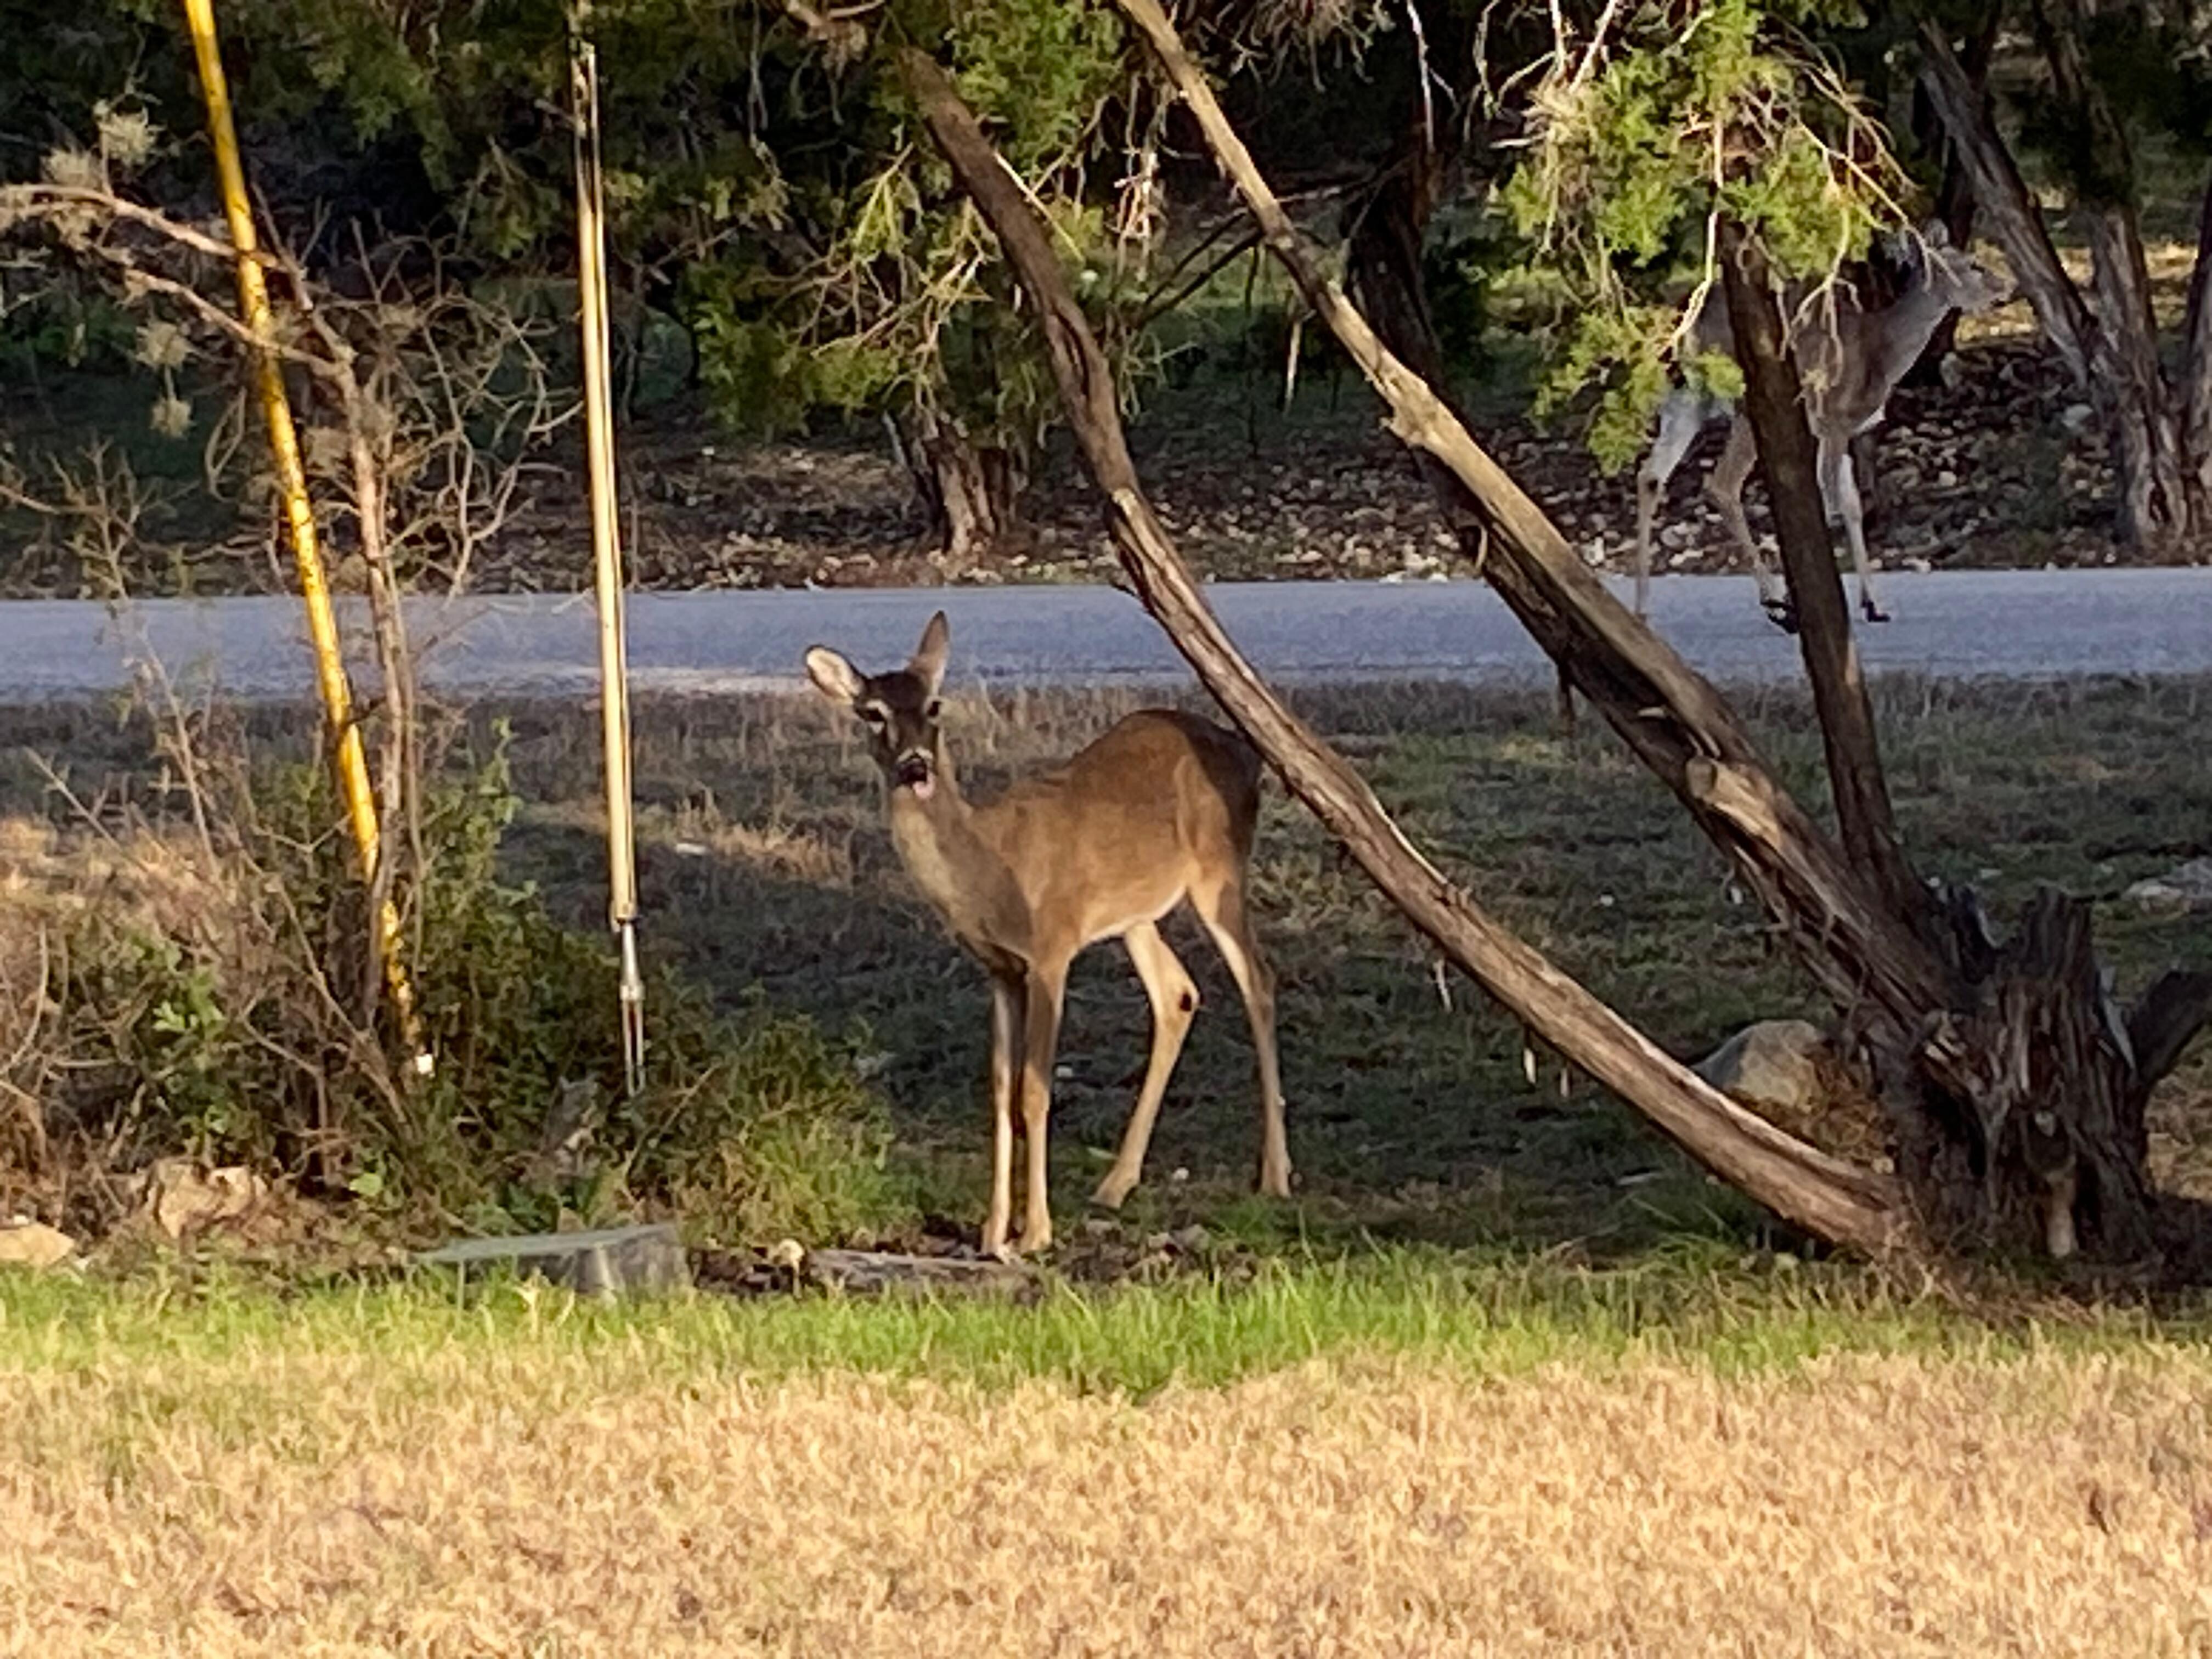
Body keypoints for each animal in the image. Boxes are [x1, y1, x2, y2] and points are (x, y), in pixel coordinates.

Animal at [804, 612, 1291, 1257]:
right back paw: (1116, 1183)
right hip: (1135, 914)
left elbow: (1034, 1090)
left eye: (934, 705)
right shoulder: (999, 969)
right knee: (1178, 995)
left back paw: (1276, 1175)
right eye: (872, 713)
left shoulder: (1052, 950)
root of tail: (1245, 752)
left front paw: (1035, 1230)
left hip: (1219, 871)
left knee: (1259, 980)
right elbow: (1001, 1092)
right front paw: (992, 1231)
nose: (915, 766)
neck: (989, 869)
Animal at [1633, 224, 2010, 632]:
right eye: (1974, 265)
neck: (1881, 353)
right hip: (1749, 404)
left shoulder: (1838, 430)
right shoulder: (1834, 419)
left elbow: (1852, 504)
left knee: (1651, 475)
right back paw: (1778, 605)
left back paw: (1642, 609)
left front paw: (1874, 605)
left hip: (1685, 399)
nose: (2006, 289)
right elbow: (1834, 504)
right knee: (1722, 485)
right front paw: (1836, 601)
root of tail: (1688, 330)